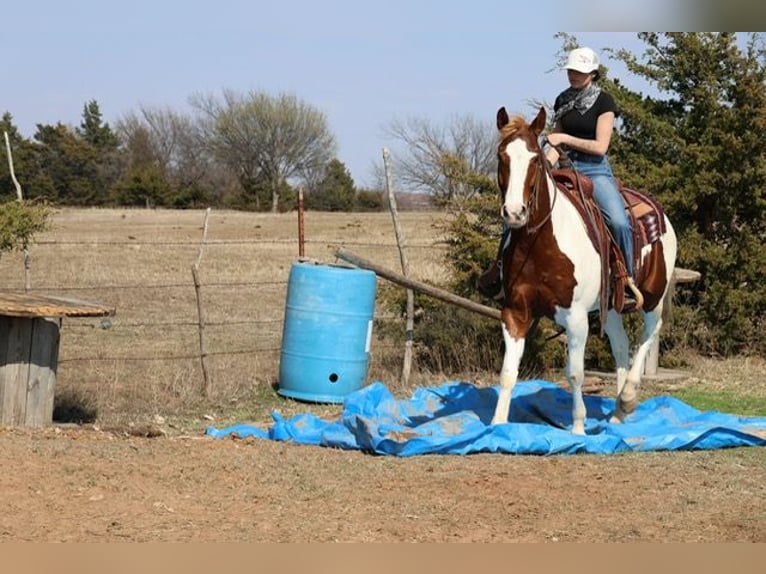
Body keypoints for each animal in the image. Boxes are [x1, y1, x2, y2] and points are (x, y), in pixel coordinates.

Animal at [491, 106, 677, 435]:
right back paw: (618, 414)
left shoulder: (576, 317)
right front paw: (497, 425)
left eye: (535, 159)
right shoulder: (514, 312)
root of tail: (662, 215)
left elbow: (575, 374)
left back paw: (628, 396)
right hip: (612, 305)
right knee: (621, 345)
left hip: (653, 296)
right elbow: (508, 372)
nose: (514, 213)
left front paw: (578, 429)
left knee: (648, 335)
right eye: (502, 156)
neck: (540, 243)